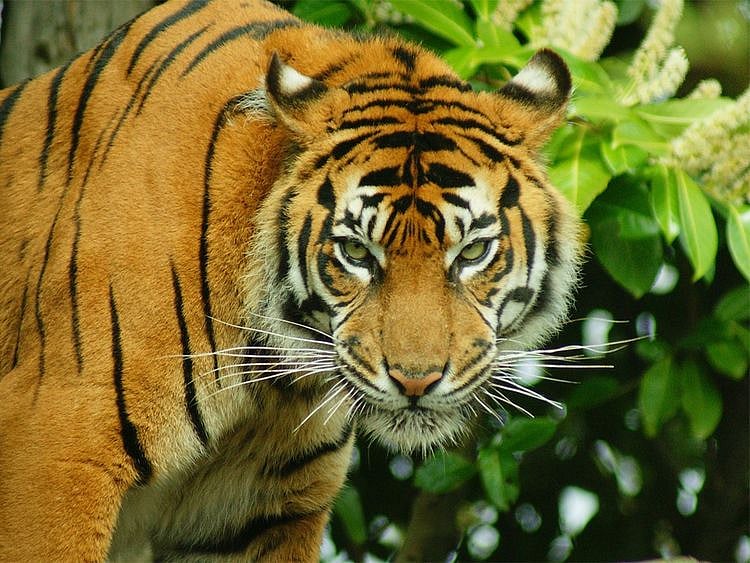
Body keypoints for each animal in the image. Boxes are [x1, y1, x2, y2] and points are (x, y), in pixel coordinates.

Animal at [0, 0, 582, 560]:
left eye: (474, 252)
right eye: (356, 251)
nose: (416, 382)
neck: (272, 379)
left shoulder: (258, 509)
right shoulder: (58, 452)